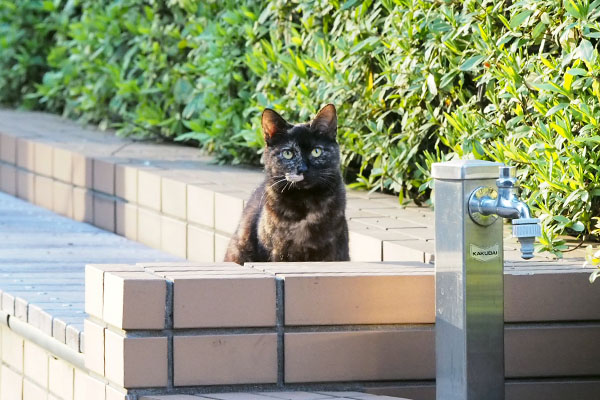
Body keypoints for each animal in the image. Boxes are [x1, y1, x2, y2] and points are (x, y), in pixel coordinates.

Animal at [224, 104, 346, 264]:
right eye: (288, 153)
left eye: (316, 151)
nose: (302, 169)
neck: (304, 202)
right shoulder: (277, 251)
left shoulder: (333, 250)